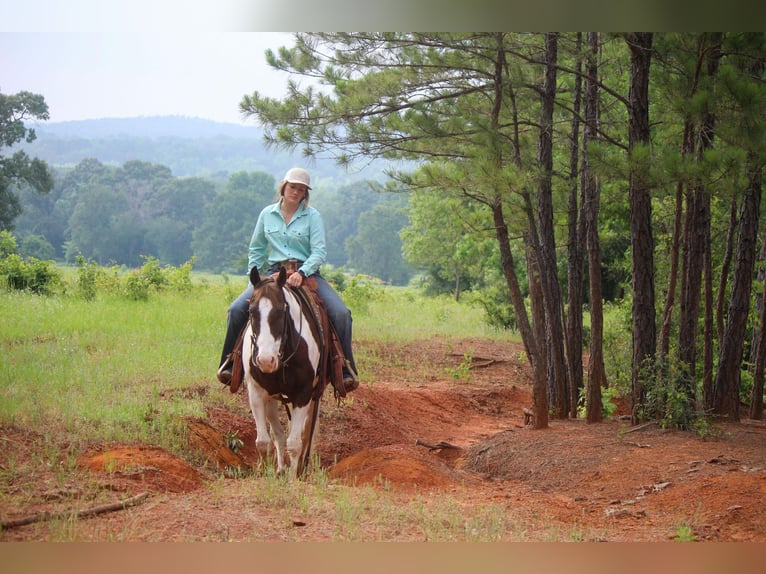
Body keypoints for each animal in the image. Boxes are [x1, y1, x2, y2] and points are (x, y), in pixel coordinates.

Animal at [243, 266, 328, 482]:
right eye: (251, 311)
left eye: (281, 312)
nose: (266, 361)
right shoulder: (256, 392)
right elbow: (263, 441)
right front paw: (267, 474)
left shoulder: (303, 394)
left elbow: (296, 443)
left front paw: (293, 480)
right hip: (273, 396)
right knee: (278, 432)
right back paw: (280, 468)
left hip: (314, 395)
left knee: (307, 433)